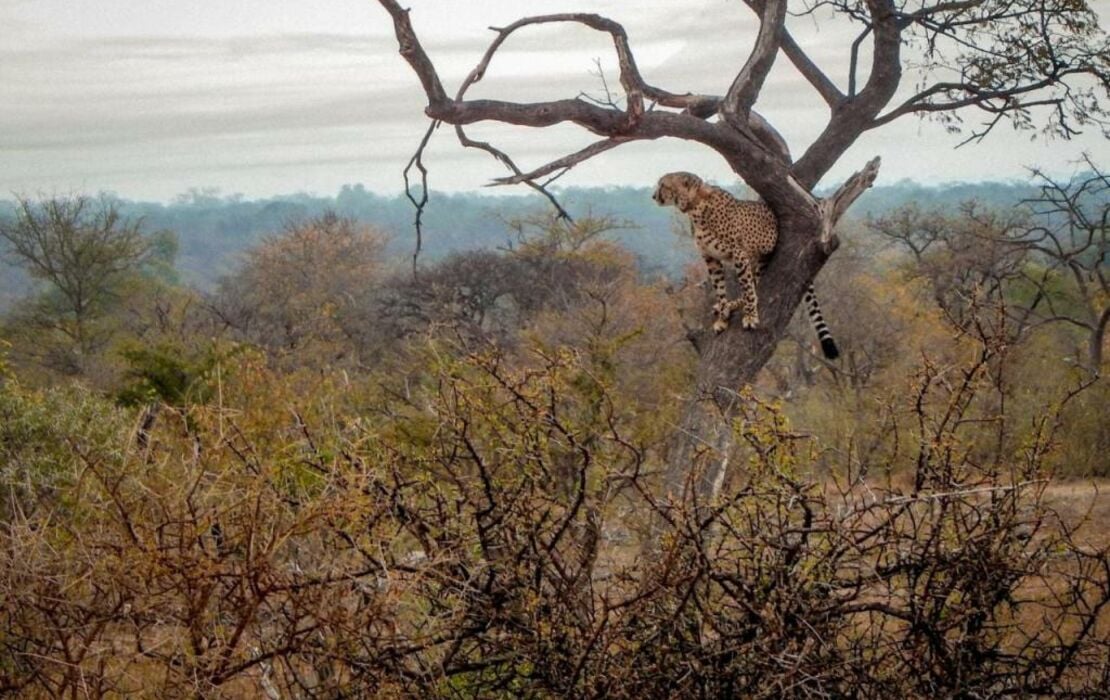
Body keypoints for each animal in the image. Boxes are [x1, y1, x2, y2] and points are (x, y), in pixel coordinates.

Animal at [648, 168, 839, 354]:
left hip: (760, 260)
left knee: (755, 287)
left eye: (663, 185)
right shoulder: (711, 259)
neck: (694, 206)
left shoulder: (739, 254)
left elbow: (747, 290)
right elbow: (720, 289)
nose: (653, 196)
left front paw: (750, 317)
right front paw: (722, 319)